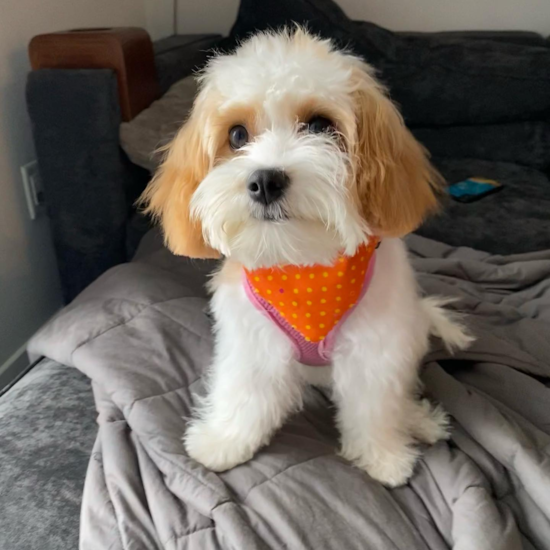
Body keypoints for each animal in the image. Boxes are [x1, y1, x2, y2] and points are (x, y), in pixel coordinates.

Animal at [140, 28, 472, 490]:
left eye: (319, 126)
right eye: (237, 136)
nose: (265, 180)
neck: (304, 266)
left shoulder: (375, 349)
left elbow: (374, 406)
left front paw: (384, 455)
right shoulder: (252, 340)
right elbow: (245, 392)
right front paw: (225, 441)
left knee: (399, 393)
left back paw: (417, 420)